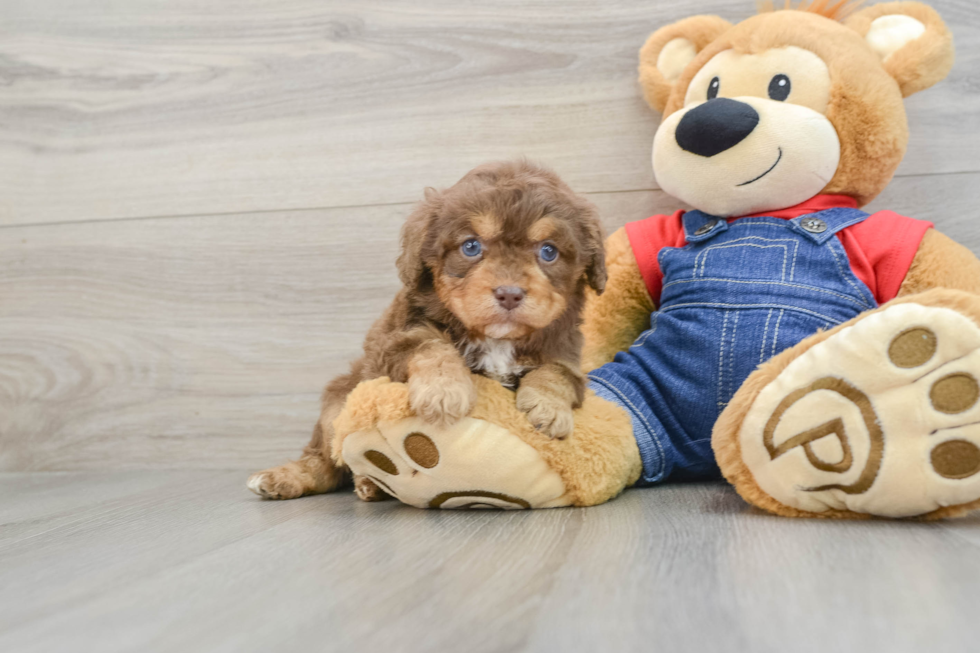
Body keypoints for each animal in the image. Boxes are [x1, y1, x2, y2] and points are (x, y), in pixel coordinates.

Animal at [247, 159, 604, 500]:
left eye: (548, 251)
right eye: (471, 247)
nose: (509, 293)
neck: (495, 339)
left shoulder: (565, 352)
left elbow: (555, 374)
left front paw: (549, 409)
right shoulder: (394, 341)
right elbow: (430, 345)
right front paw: (444, 391)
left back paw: (370, 485)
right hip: (337, 403)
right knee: (327, 458)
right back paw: (288, 478)